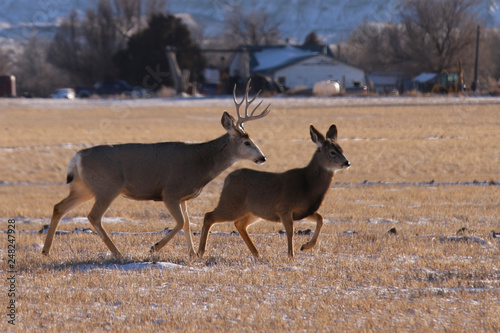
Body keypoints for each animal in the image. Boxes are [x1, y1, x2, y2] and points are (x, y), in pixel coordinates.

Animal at [42, 80, 270, 256]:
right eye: (247, 142)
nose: (262, 157)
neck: (200, 163)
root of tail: (77, 157)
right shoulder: (170, 191)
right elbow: (180, 222)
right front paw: (154, 247)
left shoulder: (183, 197)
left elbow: (187, 223)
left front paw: (192, 253)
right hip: (107, 187)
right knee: (93, 216)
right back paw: (117, 253)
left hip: (85, 187)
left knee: (59, 207)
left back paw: (46, 250)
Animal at [197, 123, 350, 258]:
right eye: (332, 152)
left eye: (342, 150)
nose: (347, 162)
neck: (307, 184)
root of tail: (227, 178)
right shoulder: (284, 207)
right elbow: (290, 231)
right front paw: (291, 255)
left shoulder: (304, 211)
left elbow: (320, 219)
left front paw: (305, 246)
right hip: (231, 204)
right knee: (209, 216)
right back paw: (200, 252)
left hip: (253, 211)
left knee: (239, 224)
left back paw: (256, 253)